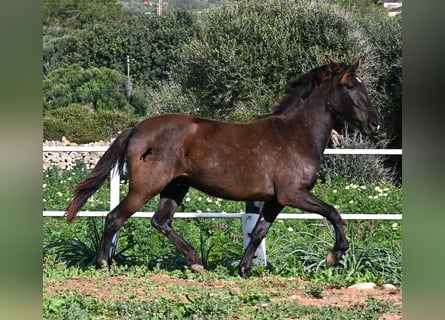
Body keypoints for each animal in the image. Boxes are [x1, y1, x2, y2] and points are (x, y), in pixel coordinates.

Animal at [66, 57, 378, 278]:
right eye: (351, 86)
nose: (373, 124)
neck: (296, 134)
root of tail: (136, 128)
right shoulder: (294, 194)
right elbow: (334, 213)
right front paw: (334, 256)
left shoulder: (276, 200)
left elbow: (259, 232)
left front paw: (244, 269)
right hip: (146, 187)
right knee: (115, 217)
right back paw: (103, 263)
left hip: (176, 187)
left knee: (160, 221)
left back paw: (195, 262)